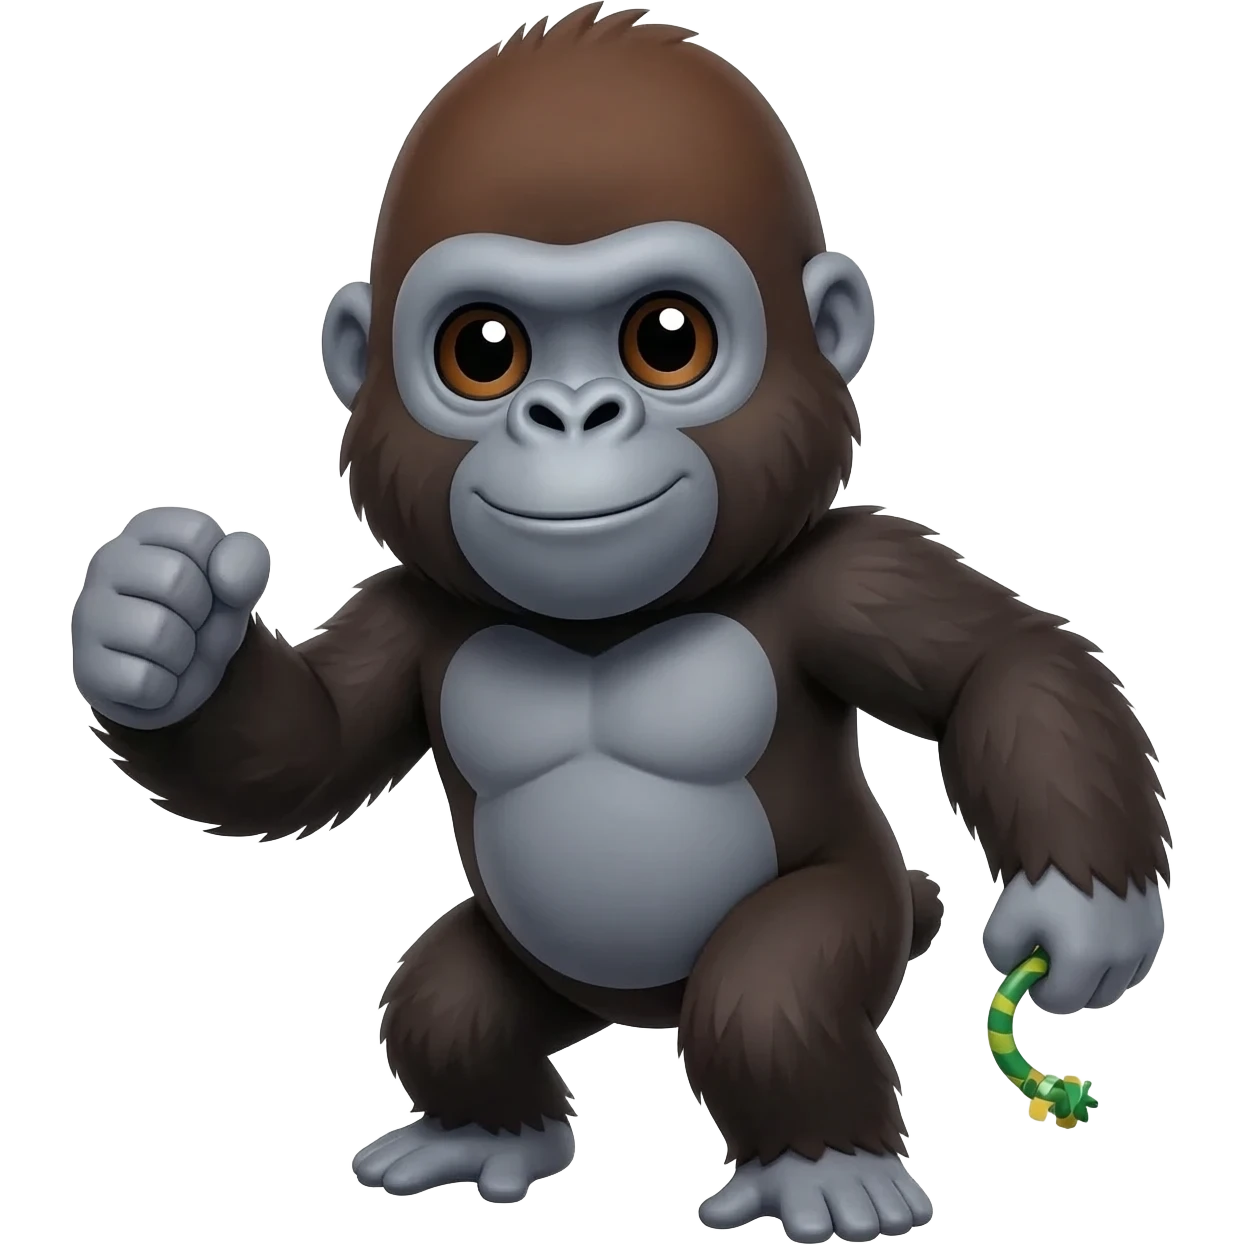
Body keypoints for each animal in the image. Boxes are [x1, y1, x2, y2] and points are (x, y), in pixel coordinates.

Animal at [69, 7, 1170, 1243]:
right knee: (445, 1001)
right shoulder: (409, 609)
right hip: (534, 970)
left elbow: (993, 664)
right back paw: (485, 1130)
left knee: (764, 996)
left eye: (667, 339)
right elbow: (307, 746)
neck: (608, 622)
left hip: (858, 909)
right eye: (484, 351)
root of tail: (639, 1010)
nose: (570, 413)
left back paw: (823, 1167)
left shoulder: (845, 572)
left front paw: (1083, 917)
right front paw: (160, 629)